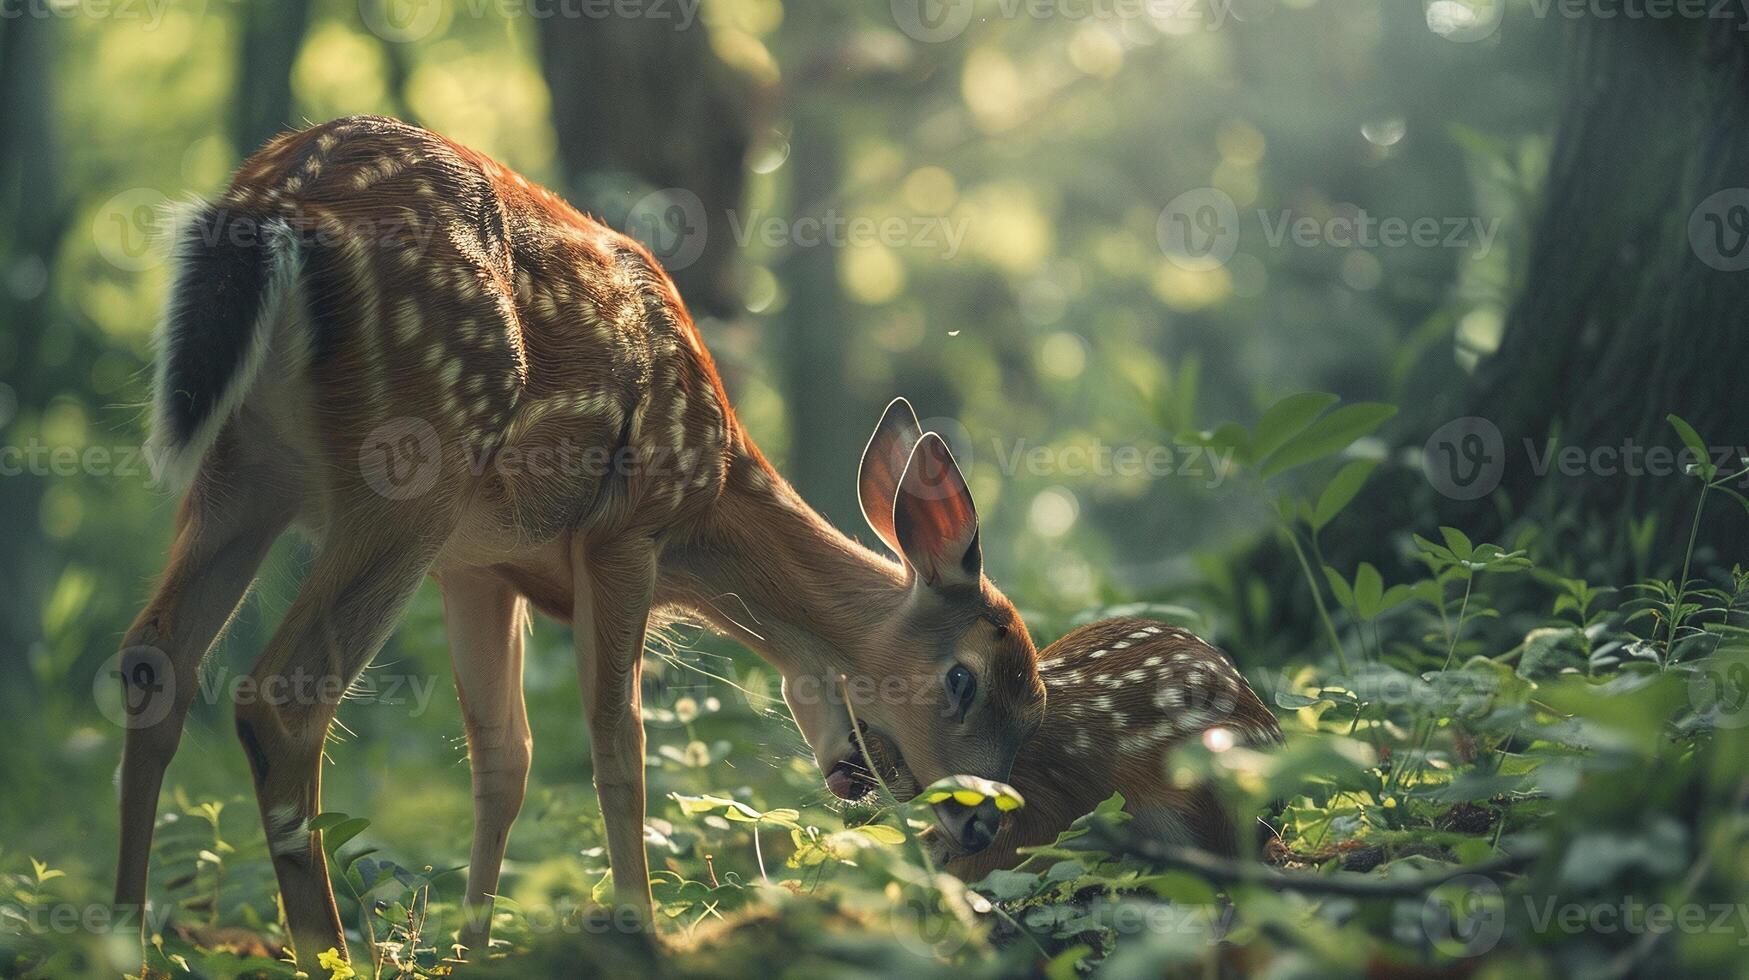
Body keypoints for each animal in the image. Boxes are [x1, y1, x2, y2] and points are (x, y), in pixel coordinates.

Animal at [119, 114, 1035, 966]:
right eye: (965, 680)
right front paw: (642, 931)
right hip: (416, 453)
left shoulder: (479, 565)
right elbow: (619, 744)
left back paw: (123, 940)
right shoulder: (626, 531)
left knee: (154, 660)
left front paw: (473, 950)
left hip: (248, 467)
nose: (980, 827)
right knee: (281, 696)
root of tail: (270, 204)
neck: (708, 510)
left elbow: (504, 758)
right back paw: (334, 956)